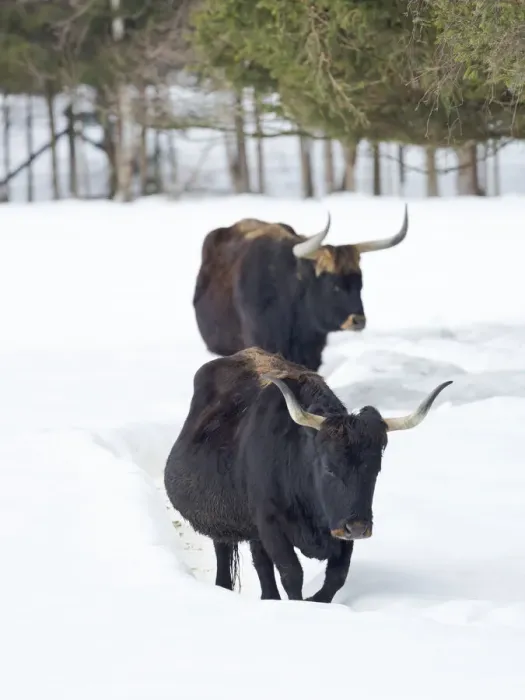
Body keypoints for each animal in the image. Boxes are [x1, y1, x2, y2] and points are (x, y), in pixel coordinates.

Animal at [164, 347, 452, 603]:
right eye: (328, 467)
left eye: (375, 468)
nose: (359, 527)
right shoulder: (270, 523)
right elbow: (292, 573)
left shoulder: (338, 526)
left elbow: (336, 576)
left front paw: (316, 601)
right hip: (221, 523)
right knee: (226, 559)